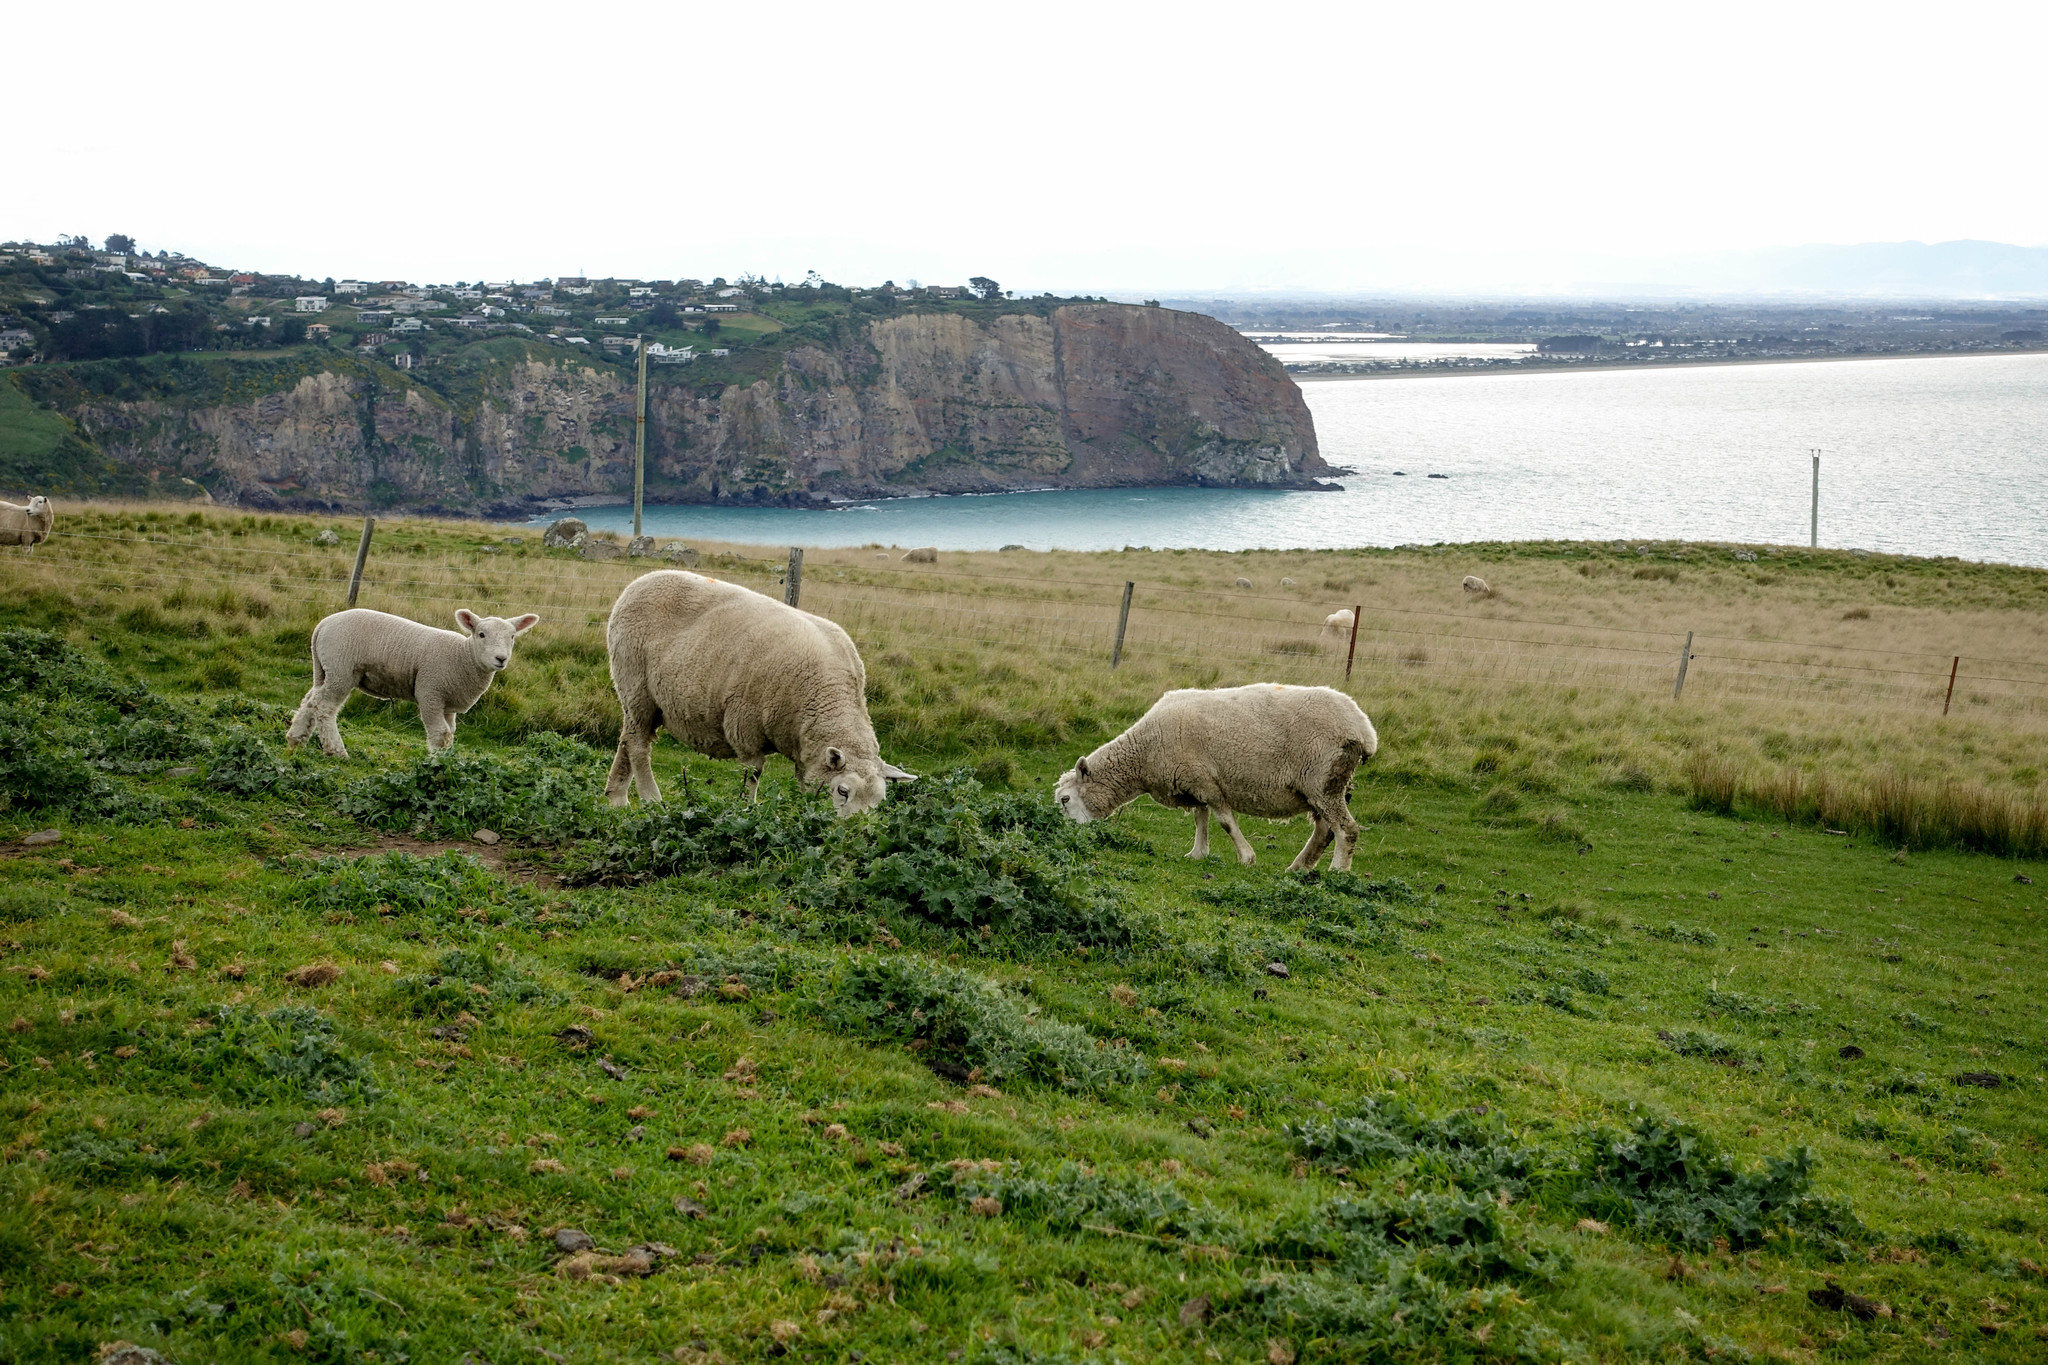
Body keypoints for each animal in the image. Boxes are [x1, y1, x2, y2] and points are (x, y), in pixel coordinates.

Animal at [292, 609, 544, 757]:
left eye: (512, 637)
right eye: (481, 634)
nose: (501, 659)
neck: (463, 657)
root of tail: (323, 625)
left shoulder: (448, 705)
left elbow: (450, 734)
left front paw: (446, 762)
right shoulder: (430, 692)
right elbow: (440, 734)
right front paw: (436, 766)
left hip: (325, 669)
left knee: (311, 701)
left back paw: (295, 739)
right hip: (341, 669)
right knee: (325, 707)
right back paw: (336, 751)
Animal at [602, 568, 917, 818]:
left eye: (879, 801)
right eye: (842, 791)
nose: (855, 830)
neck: (823, 694)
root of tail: (638, 583)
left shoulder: (804, 749)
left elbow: (802, 780)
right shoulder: (746, 727)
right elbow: (751, 775)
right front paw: (746, 809)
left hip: (640, 698)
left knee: (627, 738)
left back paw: (616, 798)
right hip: (636, 685)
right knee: (639, 746)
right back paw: (651, 800)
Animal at [1056, 683, 1376, 875]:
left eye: (1065, 799)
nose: (1068, 835)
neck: (1144, 751)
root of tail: (1364, 729)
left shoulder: (1205, 781)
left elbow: (1224, 821)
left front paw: (1246, 857)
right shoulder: (1191, 781)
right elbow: (1201, 819)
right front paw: (1198, 853)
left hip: (1323, 781)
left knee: (1346, 830)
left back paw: (1337, 872)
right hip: (1322, 786)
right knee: (1325, 830)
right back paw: (1298, 868)